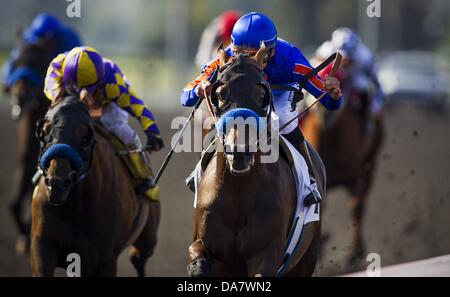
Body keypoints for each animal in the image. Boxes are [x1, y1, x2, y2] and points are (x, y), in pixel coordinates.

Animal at [30, 96, 160, 276]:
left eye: (84, 135)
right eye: (45, 131)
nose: (57, 184)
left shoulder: (105, 260)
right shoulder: (43, 247)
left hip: (148, 236)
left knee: (139, 256)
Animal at [187, 46, 326, 276]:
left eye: (261, 95)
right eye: (220, 94)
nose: (239, 152)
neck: (239, 187)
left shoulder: (266, 254)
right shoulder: (207, 244)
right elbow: (198, 259)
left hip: (306, 257)